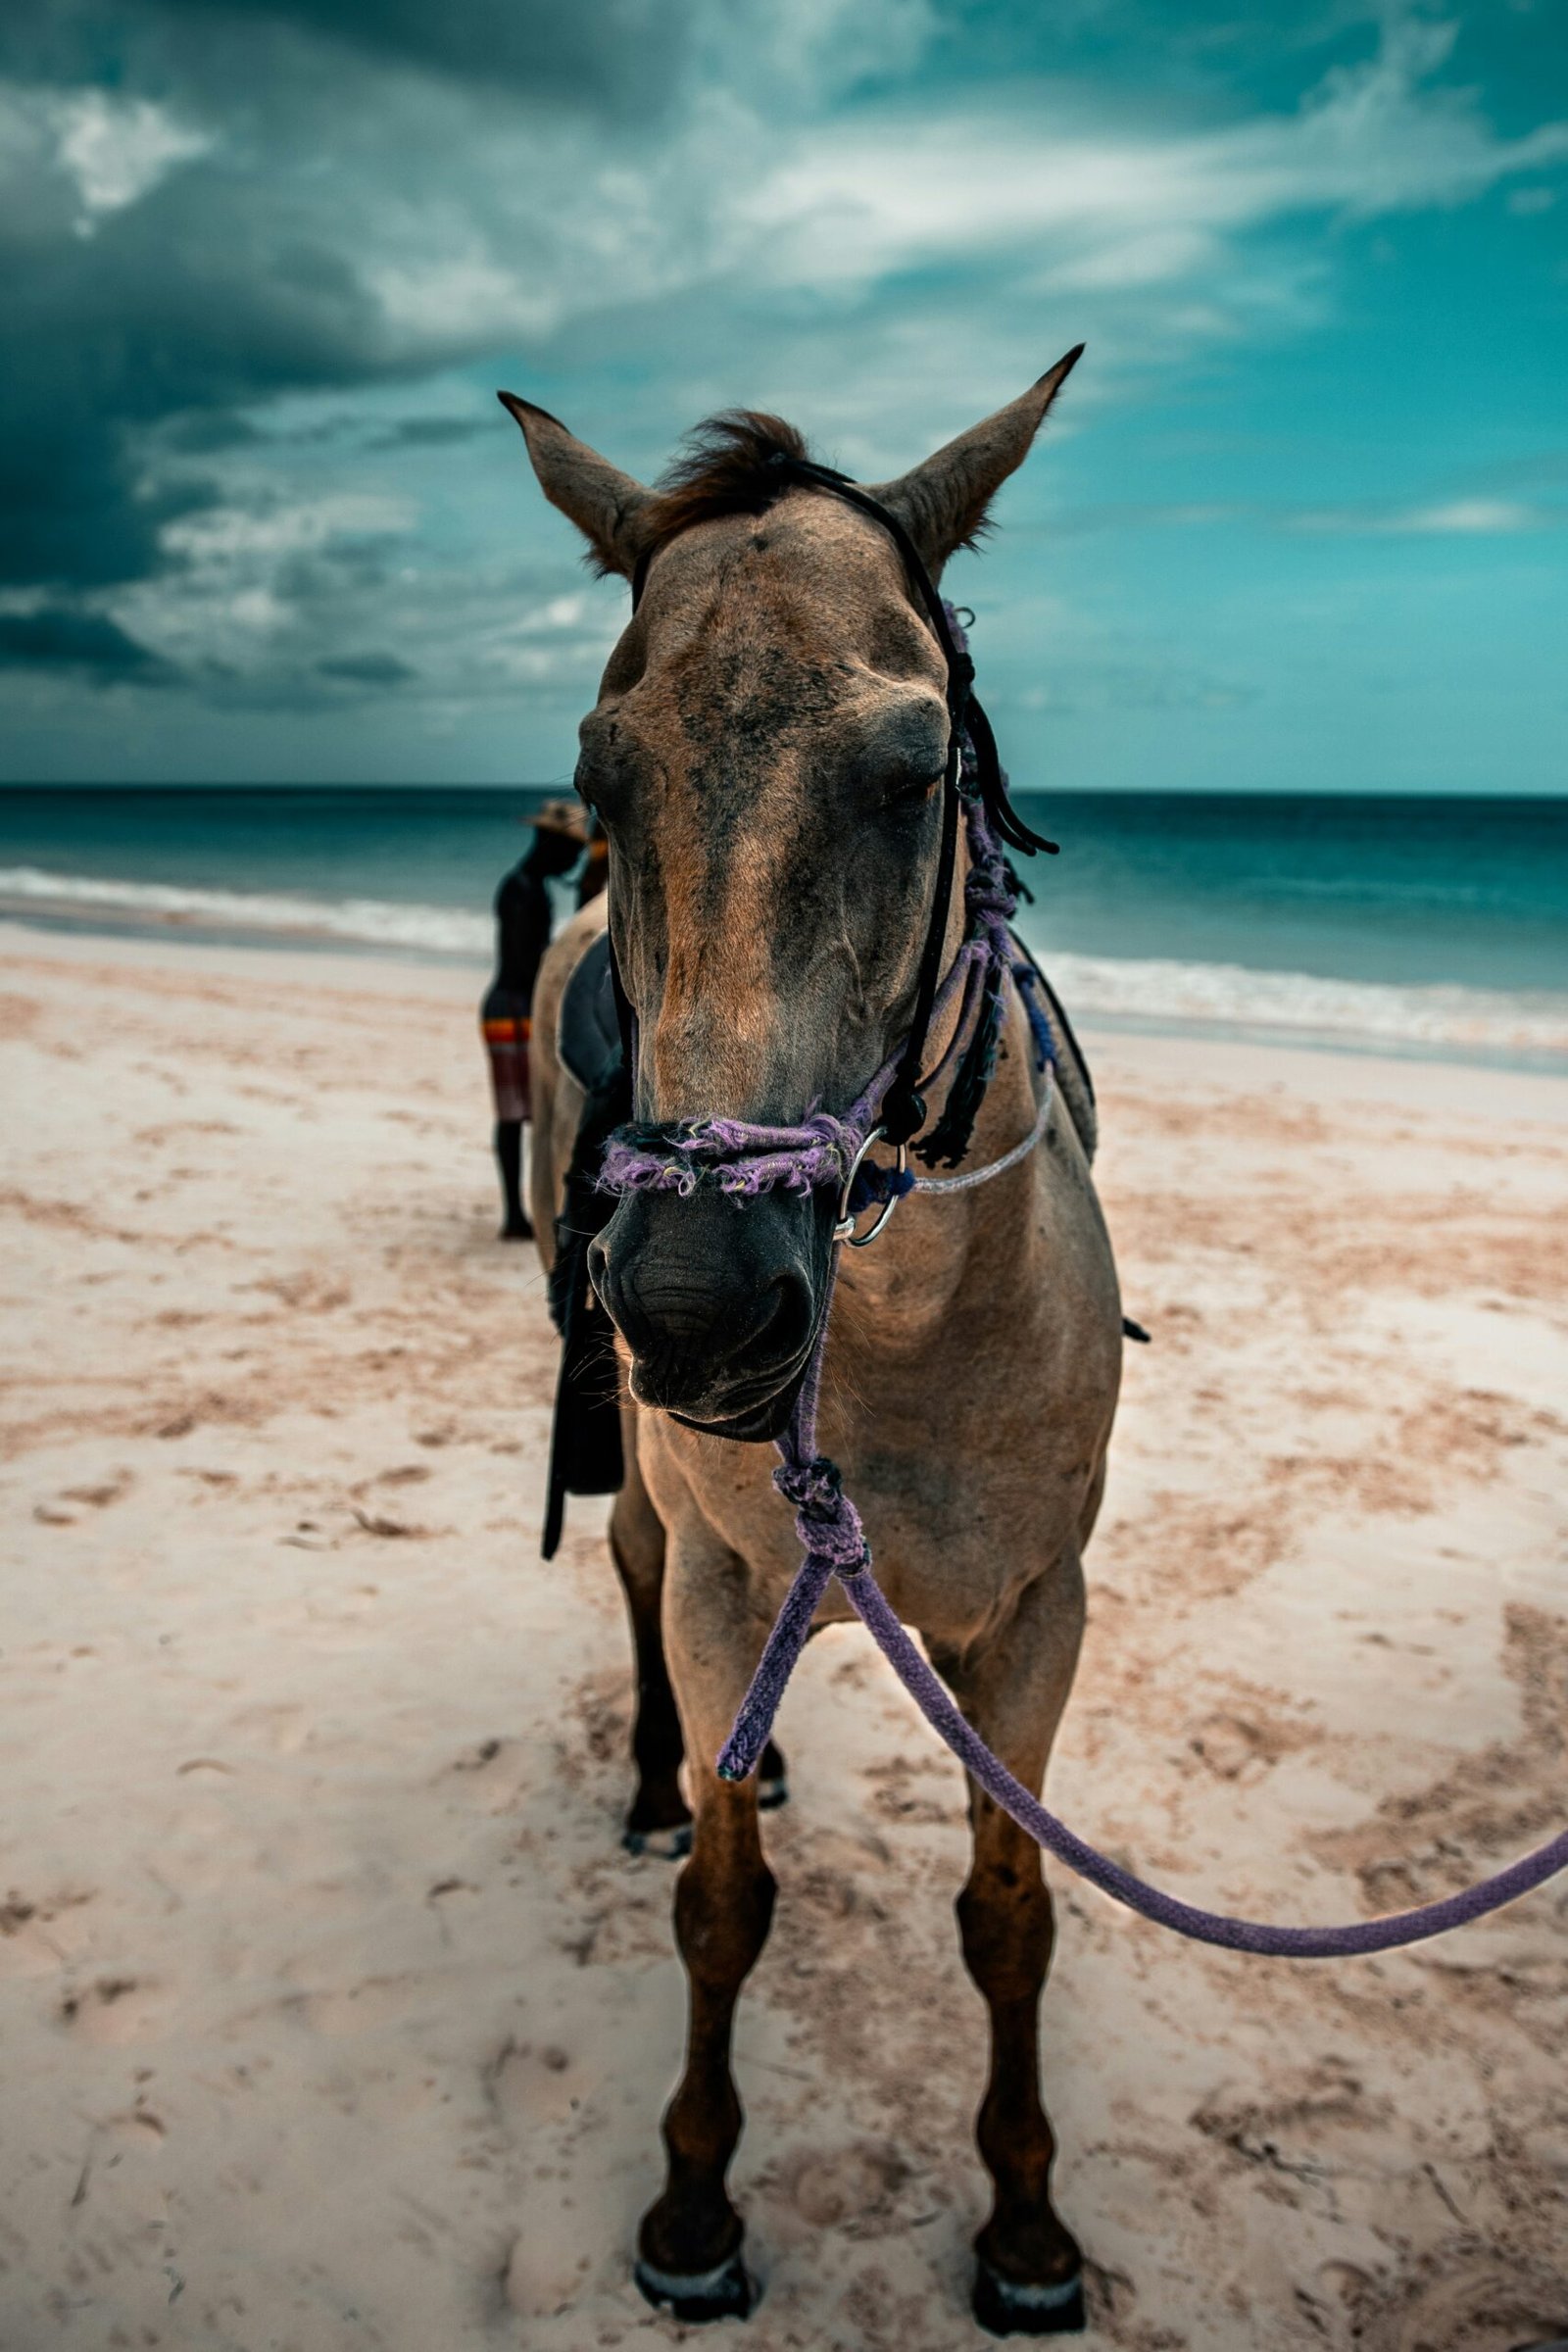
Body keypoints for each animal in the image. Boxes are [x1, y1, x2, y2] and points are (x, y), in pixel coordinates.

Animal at [510, 362, 1123, 2332]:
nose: (702, 1301)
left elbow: (1011, 1915)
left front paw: (1026, 2229)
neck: (904, 1341)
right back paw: (668, 1774)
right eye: (601, 779)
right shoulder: (723, 1587)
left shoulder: (1036, 1617)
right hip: (649, 1493)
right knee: (632, 1579)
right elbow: (723, 1909)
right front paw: (695, 2212)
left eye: (916, 773)